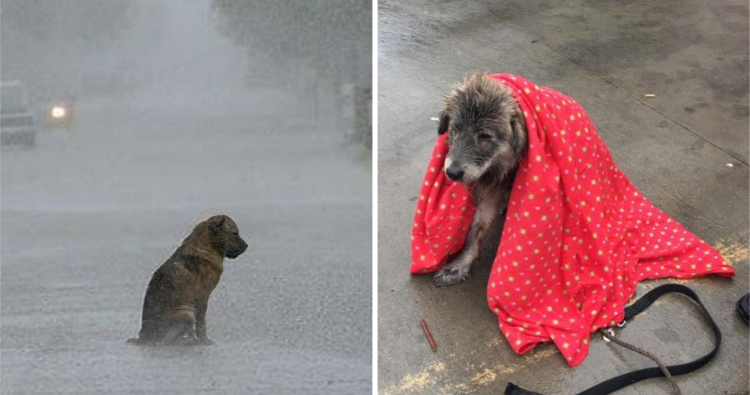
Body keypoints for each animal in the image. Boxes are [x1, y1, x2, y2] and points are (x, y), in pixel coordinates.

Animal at [128, 217, 248, 346]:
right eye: (235, 233)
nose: (246, 246)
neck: (206, 247)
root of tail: (143, 337)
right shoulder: (202, 298)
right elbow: (201, 324)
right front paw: (204, 340)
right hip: (186, 314)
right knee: (166, 341)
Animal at [432, 73, 532, 288]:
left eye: (485, 136)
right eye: (455, 129)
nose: (452, 172)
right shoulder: (490, 192)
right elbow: (478, 228)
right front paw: (460, 265)